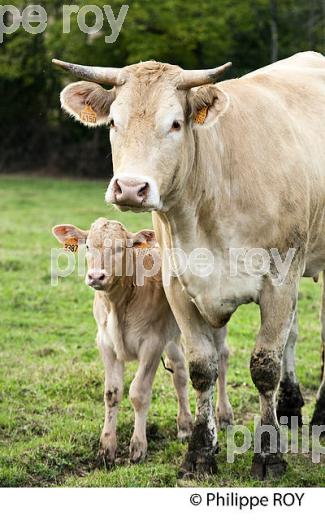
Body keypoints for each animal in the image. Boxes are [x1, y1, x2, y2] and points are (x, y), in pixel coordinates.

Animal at [52, 51, 324, 480]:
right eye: (113, 122)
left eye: (175, 124)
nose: (131, 188)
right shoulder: (178, 288)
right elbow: (201, 368)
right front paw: (199, 451)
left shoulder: (279, 280)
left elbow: (264, 366)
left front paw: (268, 454)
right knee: (292, 336)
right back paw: (290, 406)